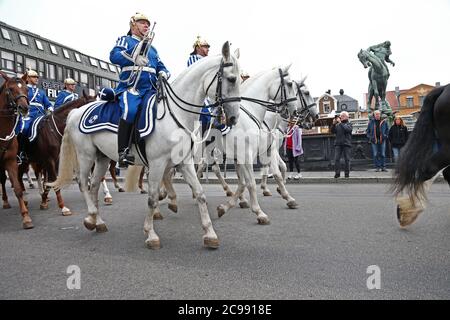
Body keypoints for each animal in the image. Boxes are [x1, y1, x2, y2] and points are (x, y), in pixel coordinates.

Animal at [47, 41, 241, 249]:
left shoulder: (184, 162)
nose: (233, 118)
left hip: (102, 158)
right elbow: (152, 197)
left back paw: (97, 222)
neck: (175, 114)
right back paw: (91, 216)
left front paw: (210, 234)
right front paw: (151, 234)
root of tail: (75, 111)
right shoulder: (157, 162)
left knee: (94, 186)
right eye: (231, 79)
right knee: (83, 182)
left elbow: (200, 193)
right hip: (86, 155)